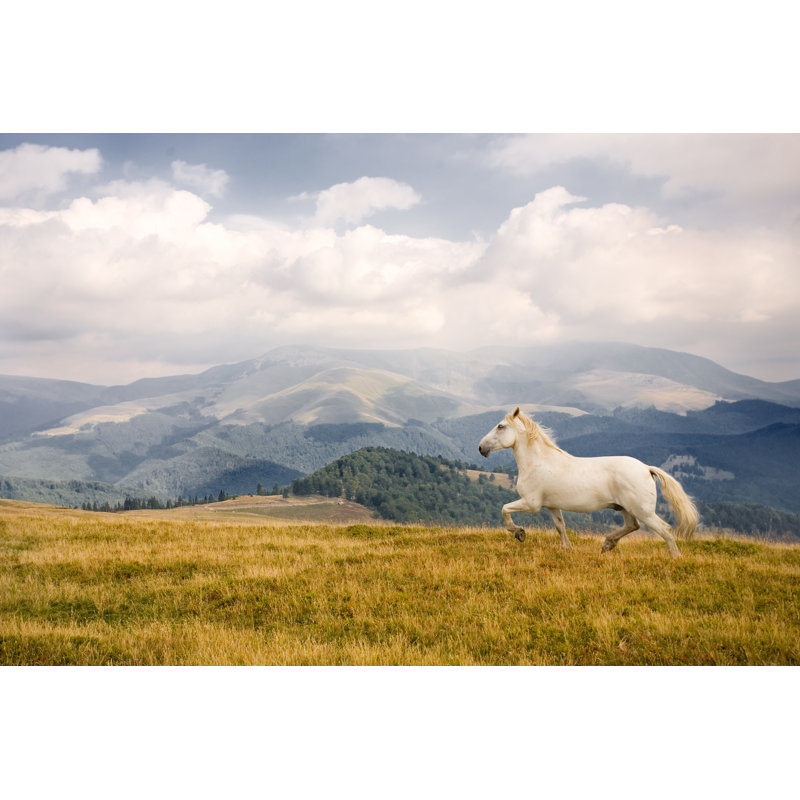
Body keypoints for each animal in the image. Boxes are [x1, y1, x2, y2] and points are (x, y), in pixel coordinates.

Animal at [478, 408, 698, 557]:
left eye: (500, 426)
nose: (481, 448)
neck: (538, 462)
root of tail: (646, 468)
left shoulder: (531, 504)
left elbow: (505, 509)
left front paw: (520, 533)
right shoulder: (552, 506)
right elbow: (560, 526)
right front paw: (567, 548)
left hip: (643, 511)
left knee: (665, 529)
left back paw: (675, 557)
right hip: (626, 508)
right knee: (632, 526)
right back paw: (607, 544)